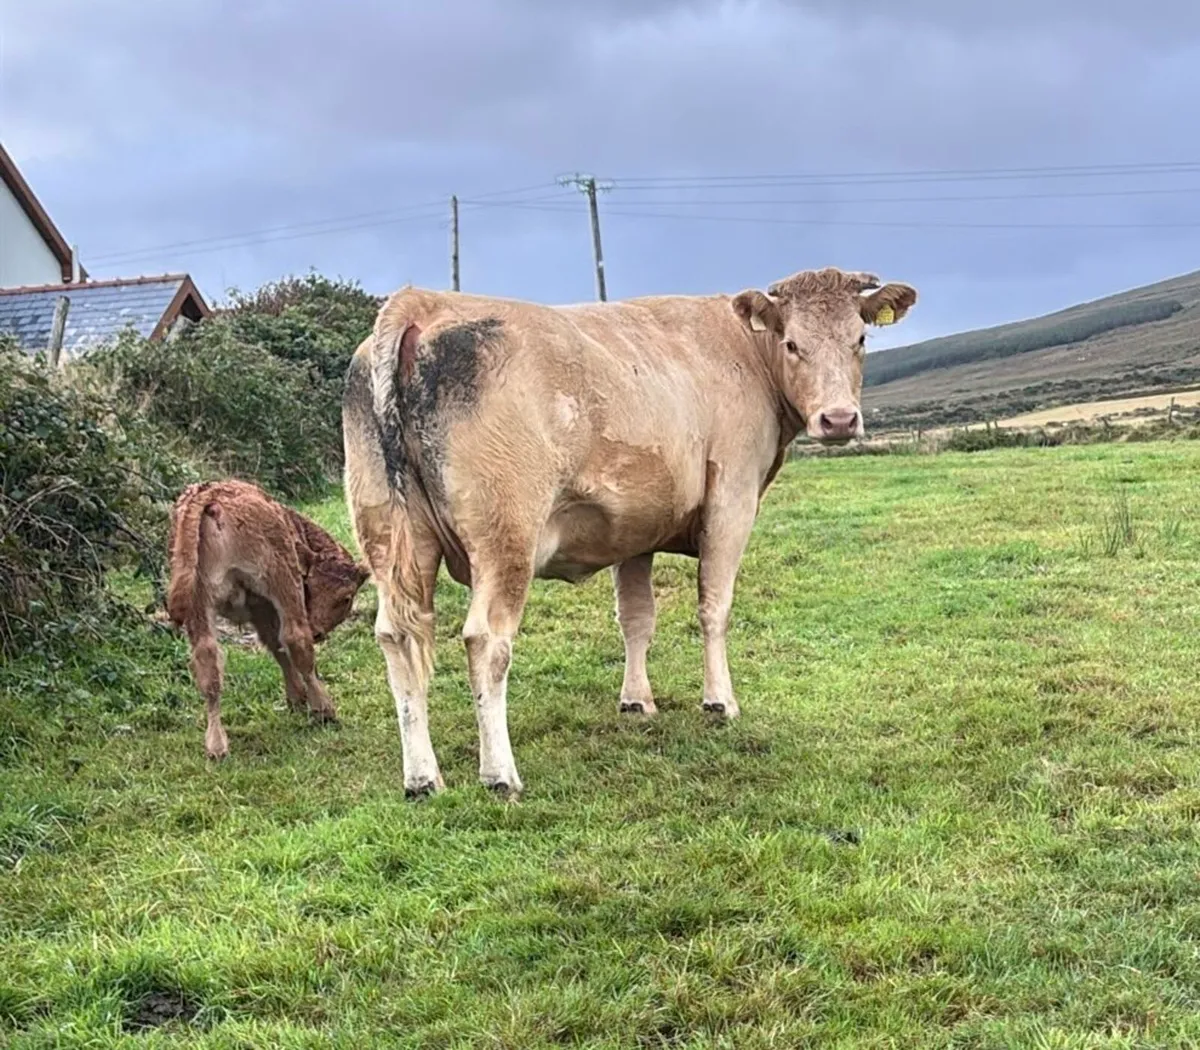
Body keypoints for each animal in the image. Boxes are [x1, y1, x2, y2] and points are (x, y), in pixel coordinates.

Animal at [166, 480, 369, 759]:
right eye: (348, 598)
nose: (317, 631)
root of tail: (210, 494)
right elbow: (285, 645)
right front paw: (304, 699)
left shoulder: (259, 608)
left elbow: (276, 646)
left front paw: (296, 699)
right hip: (281, 579)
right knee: (297, 640)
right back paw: (325, 710)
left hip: (198, 601)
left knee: (207, 662)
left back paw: (216, 746)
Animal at [342, 268, 917, 796]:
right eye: (792, 343)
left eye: (859, 339)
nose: (838, 420)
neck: (745, 350)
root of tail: (423, 302)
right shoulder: (732, 500)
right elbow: (714, 607)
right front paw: (720, 701)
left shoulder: (633, 526)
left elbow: (636, 618)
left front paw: (637, 700)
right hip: (506, 538)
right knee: (487, 640)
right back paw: (500, 774)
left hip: (390, 535)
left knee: (396, 636)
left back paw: (422, 778)